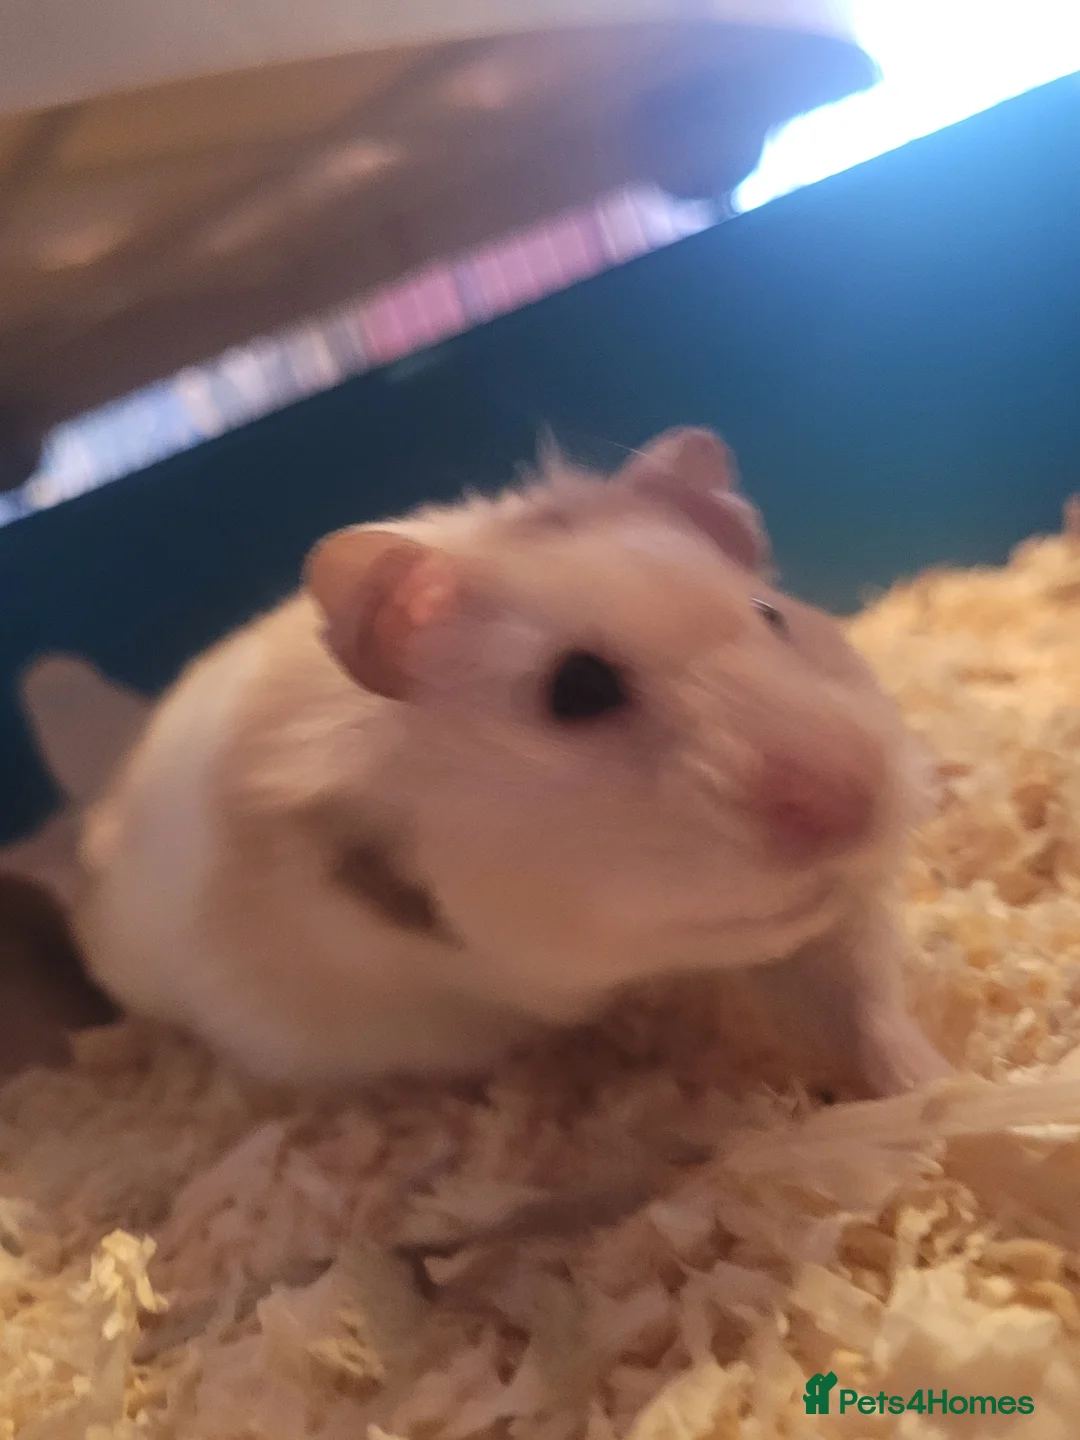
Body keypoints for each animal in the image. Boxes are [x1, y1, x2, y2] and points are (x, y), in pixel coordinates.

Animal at [73, 427, 949, 1098]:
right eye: (577, 688)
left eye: (772, 616)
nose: (852, 806)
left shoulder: (837, 928)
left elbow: (862, 1005)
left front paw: (939, 1091)